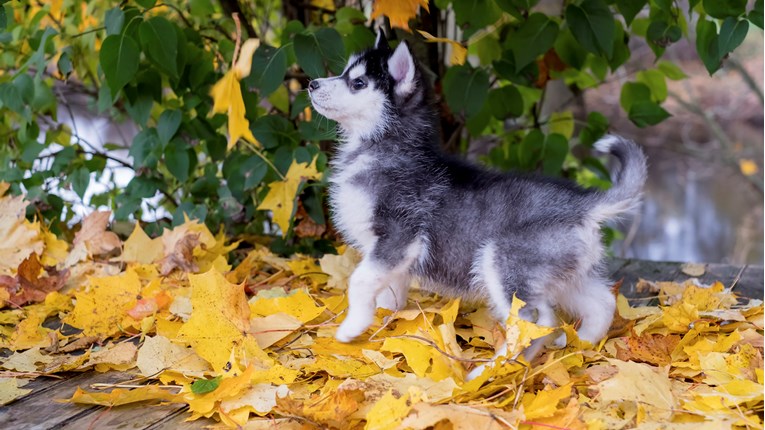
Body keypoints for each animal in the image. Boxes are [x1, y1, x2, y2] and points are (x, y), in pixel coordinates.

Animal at [304, 31, 644, 362]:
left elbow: (358, 281)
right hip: (567, 276)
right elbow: (388, 294)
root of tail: (583, 205)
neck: (385, 148)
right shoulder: (393, 258)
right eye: (345, 72)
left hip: (503, 263)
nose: (311, 83)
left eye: (358, 83)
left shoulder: (400, 237)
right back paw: (579, 347)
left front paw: (352, 327)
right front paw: (383, 328)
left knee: (535, 322)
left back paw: (493, 370)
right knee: (600, 303)